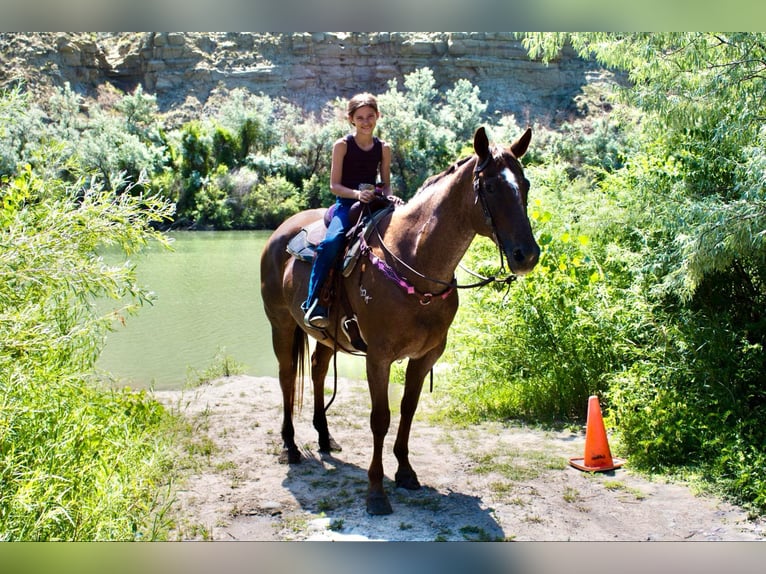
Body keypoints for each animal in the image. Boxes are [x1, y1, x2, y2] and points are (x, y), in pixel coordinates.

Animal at [260, 126, 540, 515]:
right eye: (489, 187)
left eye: (524, 183)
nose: (526, 254)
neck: (415, 262)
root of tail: (280, 231)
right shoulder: (379, 357)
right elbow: (381, 418)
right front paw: (376, 492)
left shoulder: (426, 356)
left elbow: (408, 409)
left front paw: (406, 471)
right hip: (281, 324)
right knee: (288, 377)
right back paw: (290, 446)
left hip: (327, 335)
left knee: (317, 370)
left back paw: (325, 437)